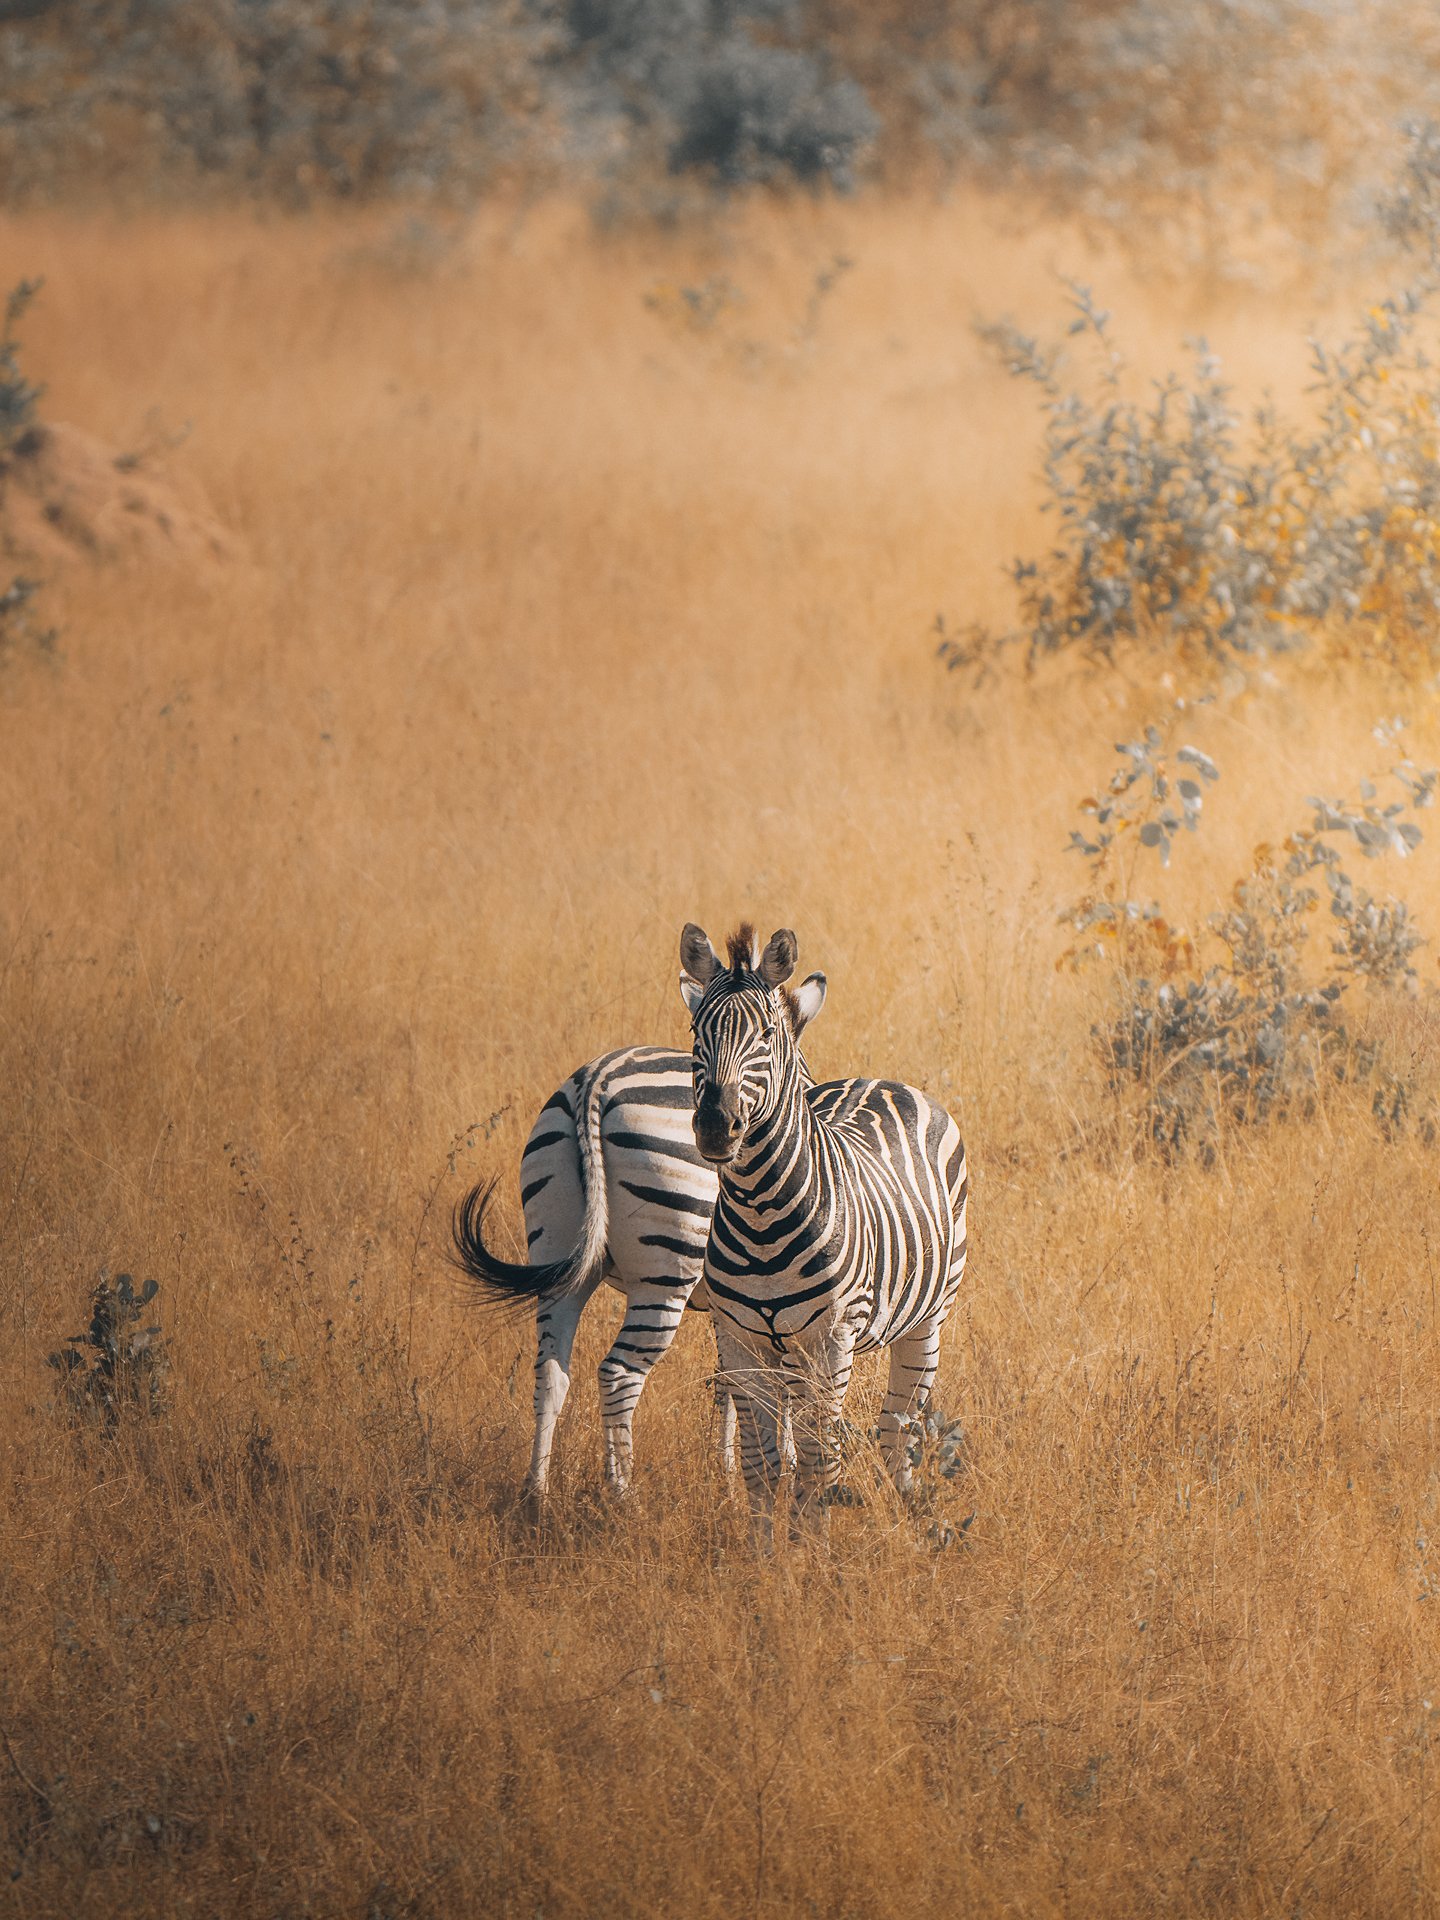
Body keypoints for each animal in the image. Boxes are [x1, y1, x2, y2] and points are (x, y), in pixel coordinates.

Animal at [452, 994, 824, 1504]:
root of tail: (595, 1080)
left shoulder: (736, 1305)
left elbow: (732, 1383)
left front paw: (731, 1473)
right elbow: (776, 1382)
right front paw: (778, 1467)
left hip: (558, 1256)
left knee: (550, 1373)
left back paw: (536, 1495)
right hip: (665, 1271)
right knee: (619, 1374)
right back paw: (623, 1496)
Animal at [680, 921, 968, 1545]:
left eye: (767, 1034)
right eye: (696, 1032)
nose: (715, 1126)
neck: (760, 1215)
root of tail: (878, 1079)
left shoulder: (831, 1342)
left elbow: (819, 1461)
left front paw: (813, 1554)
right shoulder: (740, 1342)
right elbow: (763, 1465)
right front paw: (765, 1556)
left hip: (928, 1320)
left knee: (897, 1430)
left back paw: (907, 1514)